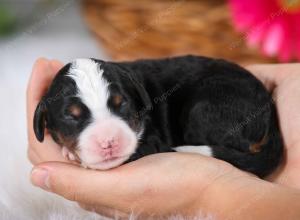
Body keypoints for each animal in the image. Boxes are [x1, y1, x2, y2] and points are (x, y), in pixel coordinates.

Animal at [34, 55, 282, 177]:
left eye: (122, 104)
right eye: (71, 116)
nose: (108, 142)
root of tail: (270, 113)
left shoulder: (152, 141)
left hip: (203, 112)